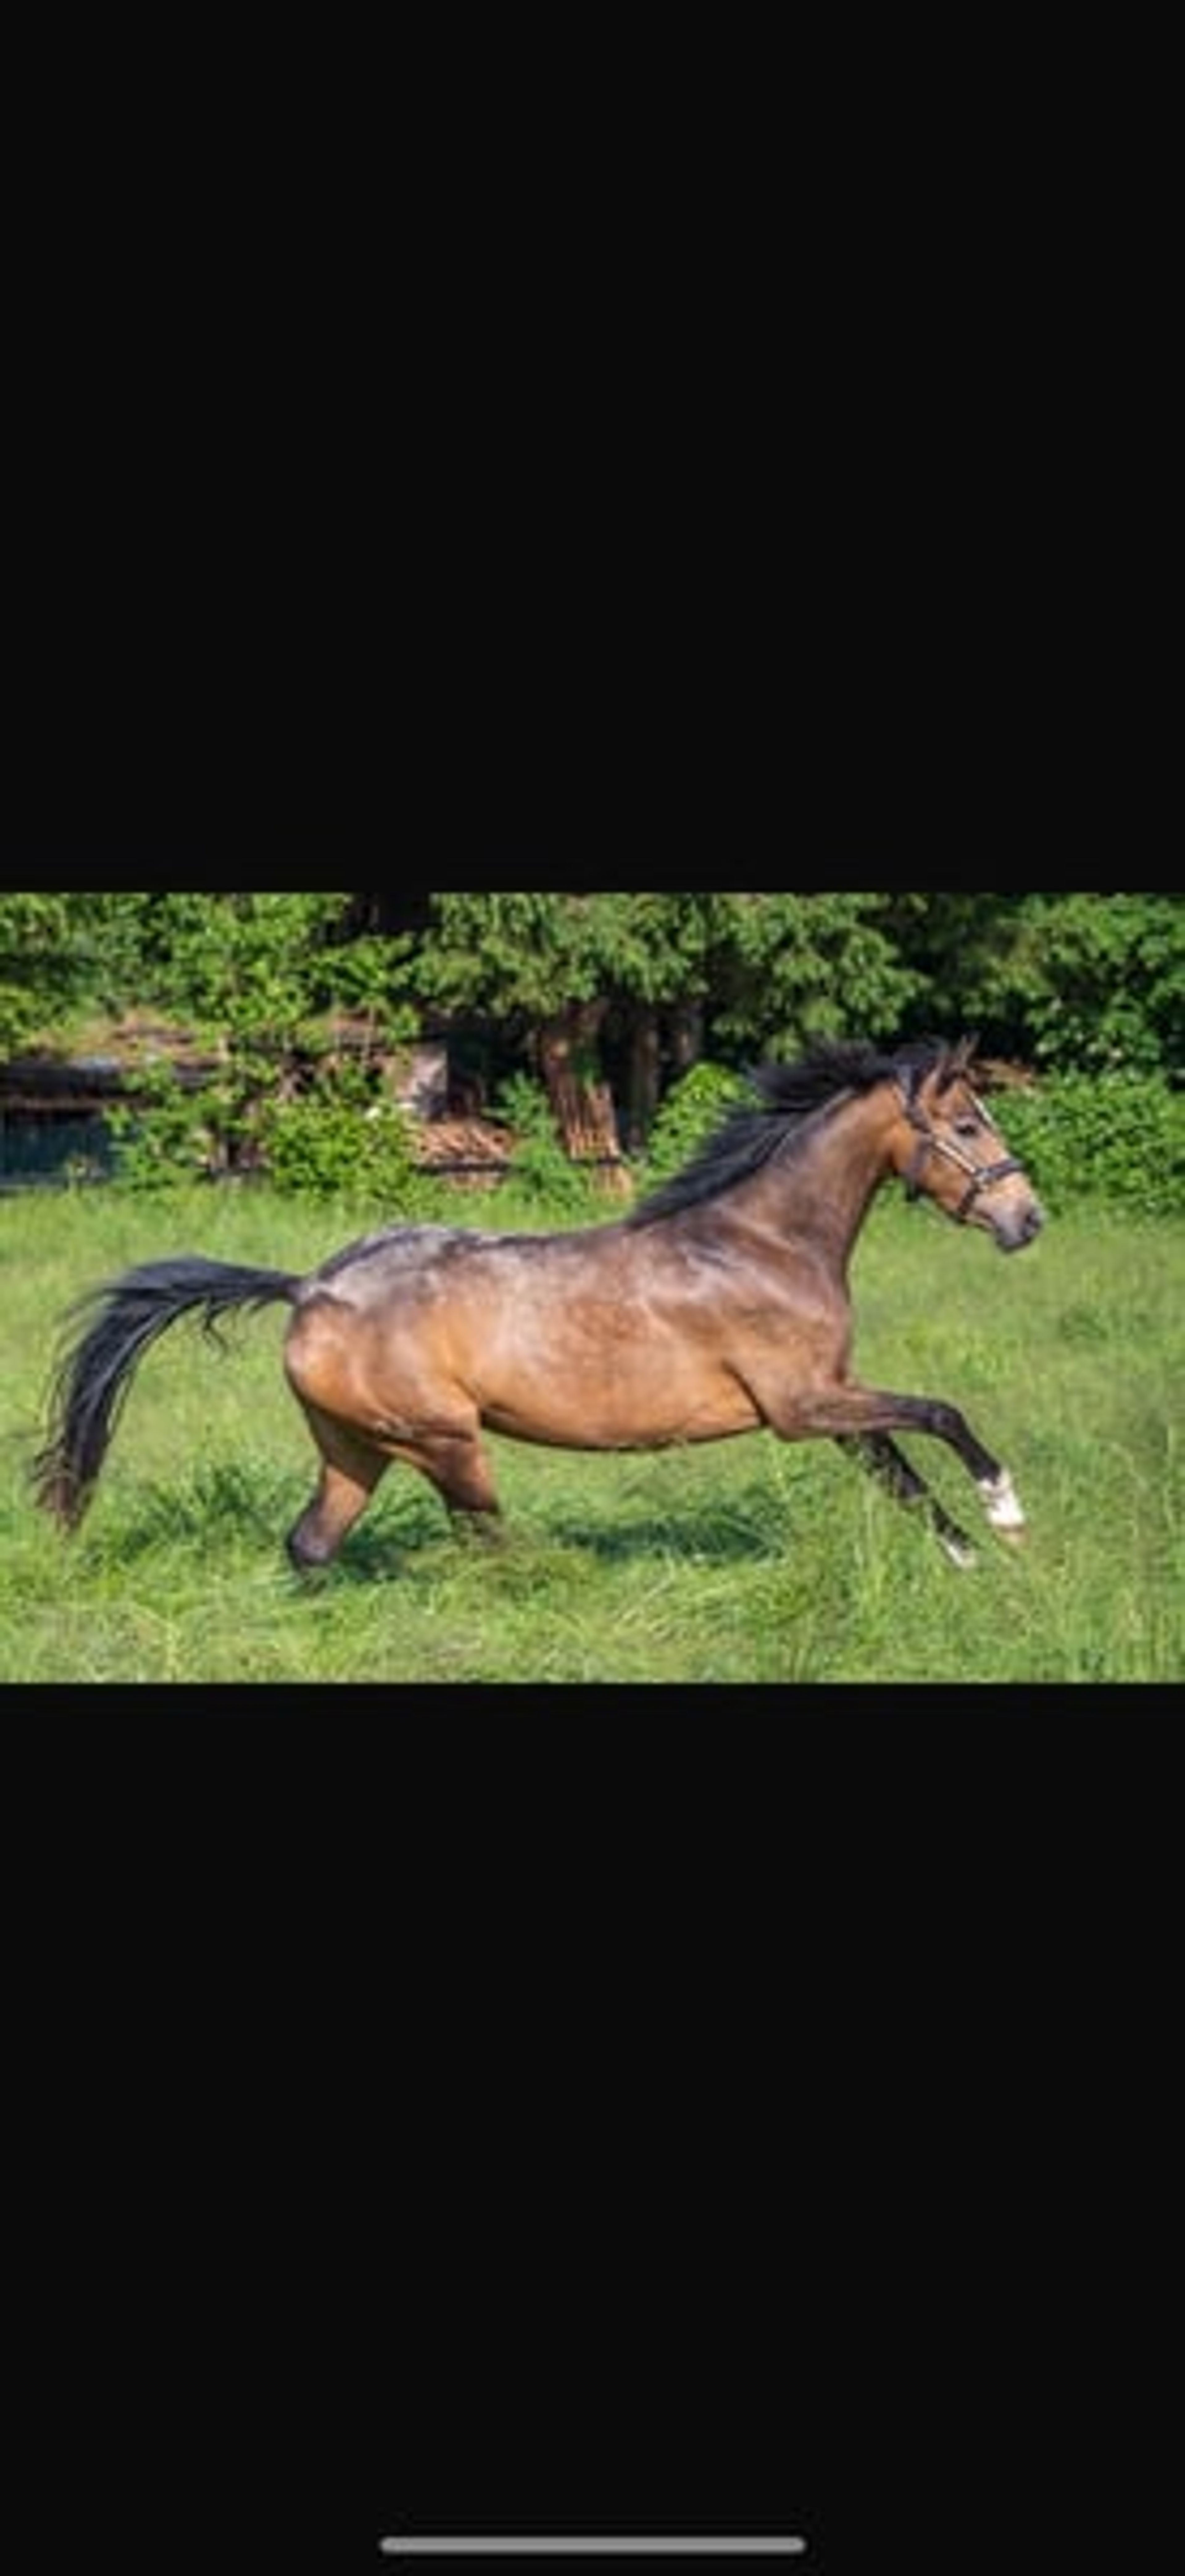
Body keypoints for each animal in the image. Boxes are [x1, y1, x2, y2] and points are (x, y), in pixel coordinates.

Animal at [31, 1035, 1045, 1574]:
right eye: (965, 1125)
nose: (1025, 1218)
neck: (761, 1241)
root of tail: (309, 1286)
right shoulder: (800, 1404)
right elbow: (937, 1414)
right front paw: (1004, 1511)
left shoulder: (823, 1399)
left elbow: (897, 1470)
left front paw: (965, 1558)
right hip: (444, 1441)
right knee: (486, 1545)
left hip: (357, 1447)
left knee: (312, 1544)